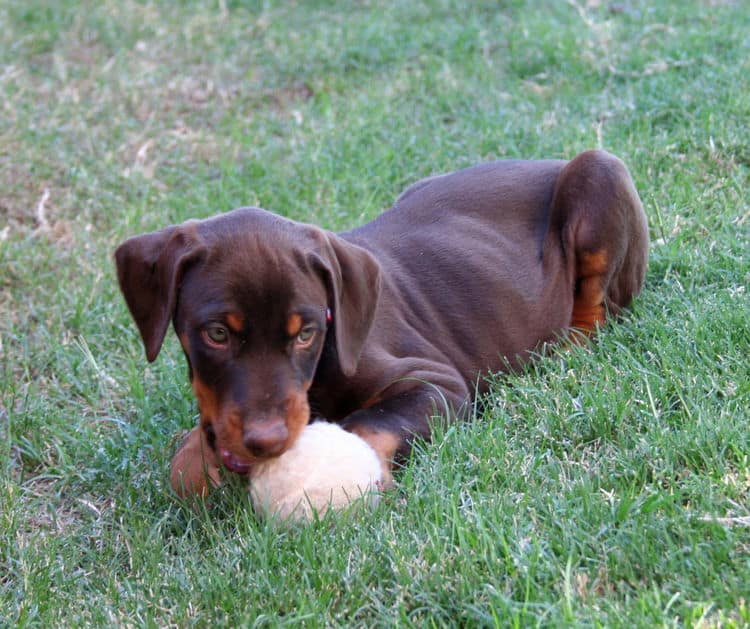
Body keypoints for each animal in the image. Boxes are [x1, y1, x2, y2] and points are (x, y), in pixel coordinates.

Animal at [114, 148, 648, 496]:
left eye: (306, 333)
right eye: (217, 333)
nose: (267, 442)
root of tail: (547, 163)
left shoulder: (436, 382)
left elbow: (370, 423)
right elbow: (185, 463)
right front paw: (199, 459)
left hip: (598, 172)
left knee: (597, 310)